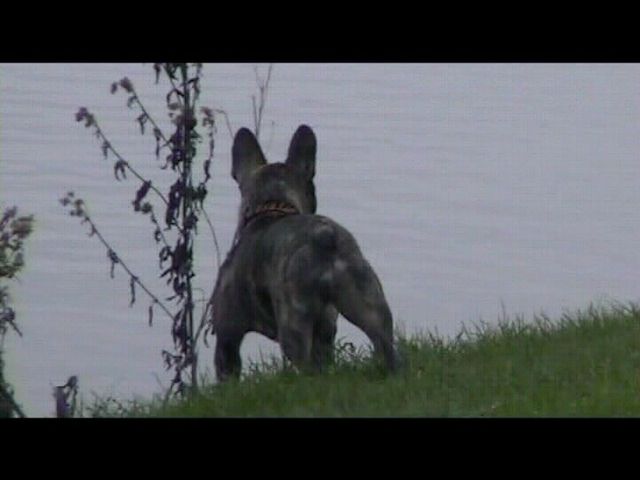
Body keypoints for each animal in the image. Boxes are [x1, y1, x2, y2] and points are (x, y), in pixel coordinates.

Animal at [210, 125, 398, 380]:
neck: (272, 207)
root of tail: (324, 239)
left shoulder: (227, 338)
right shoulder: (326, 331)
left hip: (293, 322)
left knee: (304, 364)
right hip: (370, 304)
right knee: (385, 346)